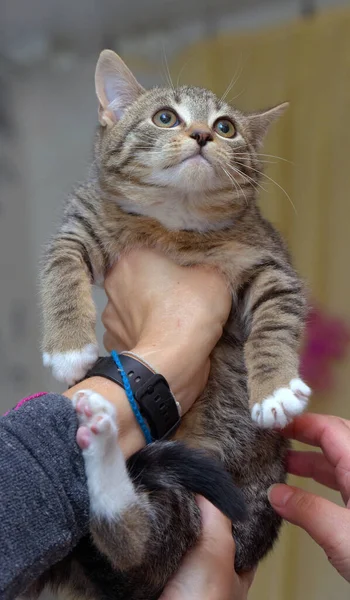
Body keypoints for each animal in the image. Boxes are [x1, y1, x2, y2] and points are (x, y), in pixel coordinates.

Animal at [37, 50, 310, 600]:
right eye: (166, 117)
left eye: (226, 127)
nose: (203, 135)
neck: (175, 224)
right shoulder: (82, 222)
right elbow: (61, 268)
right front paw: (69, 347)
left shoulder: (270, 263)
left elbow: (277, 320)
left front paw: (275, 390)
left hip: (206, 505)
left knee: (138, 538)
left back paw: (101, 445)